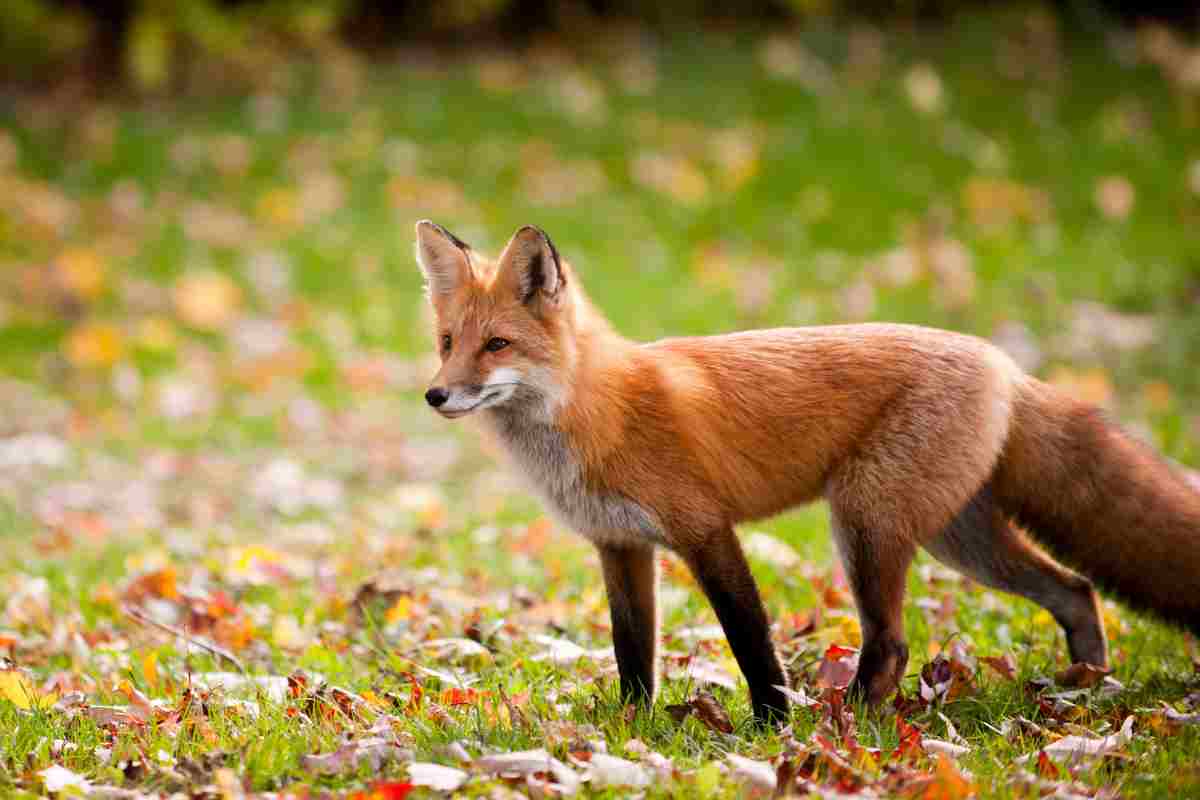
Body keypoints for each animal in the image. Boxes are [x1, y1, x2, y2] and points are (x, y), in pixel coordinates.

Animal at [415, 220, 1200, 724]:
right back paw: (1084, 686)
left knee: (893, 644)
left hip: (864, 522)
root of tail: (1002, 363)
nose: (435, 395)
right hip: (958, 539)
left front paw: (770, 725)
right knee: (1076, 589)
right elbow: (632, 651)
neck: (595, 409)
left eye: (497, 345)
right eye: (448, 343)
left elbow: (749, 639)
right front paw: (630, 729)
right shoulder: (621, 545)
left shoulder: (705, 530)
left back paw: (841, 725)